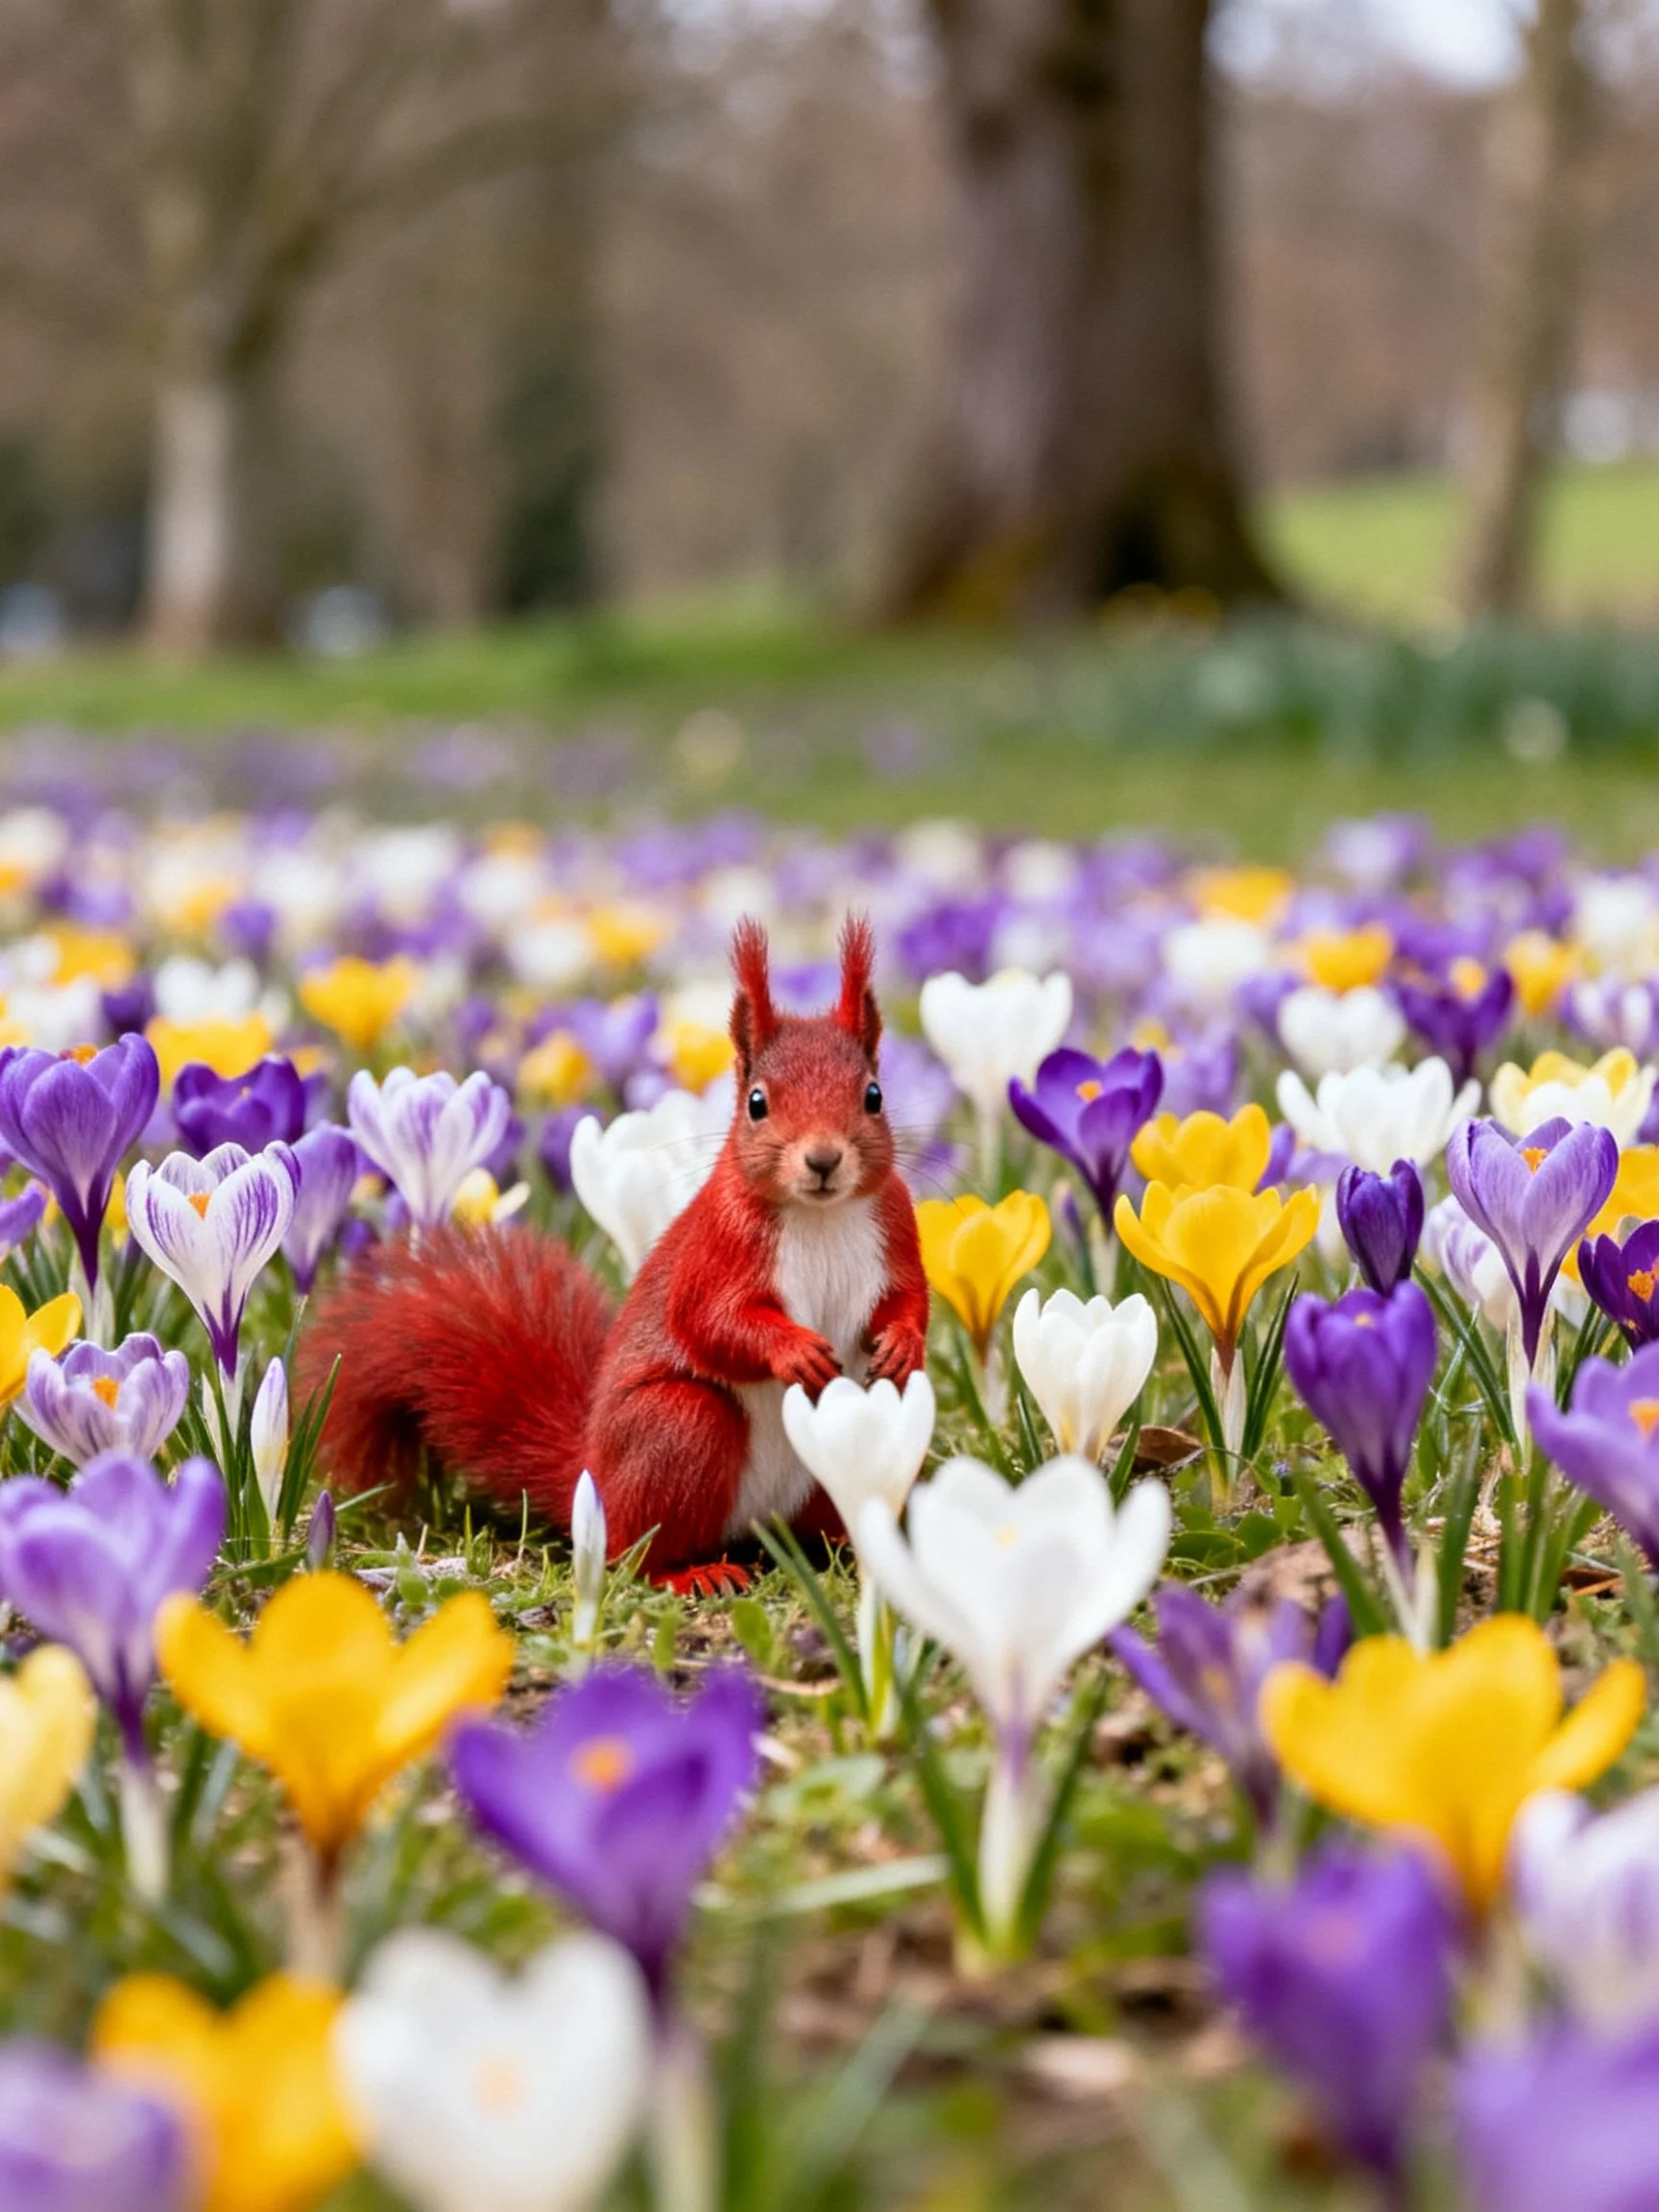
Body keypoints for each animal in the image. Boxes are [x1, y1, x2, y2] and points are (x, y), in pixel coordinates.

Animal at [300, 914, 931, 1588]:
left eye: (873, 1095)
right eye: (757, 1103)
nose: (823, 1159)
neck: (820, 1216)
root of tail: (592, 1480)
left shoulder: (896, 1230)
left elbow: (910, 1298)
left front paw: (903, 1341)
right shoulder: (717, 1247)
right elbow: (708, 1319)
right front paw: (794, 1350)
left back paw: (857, 1552)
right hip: (678, 1427)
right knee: (632, 1553)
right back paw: (691, 1574)